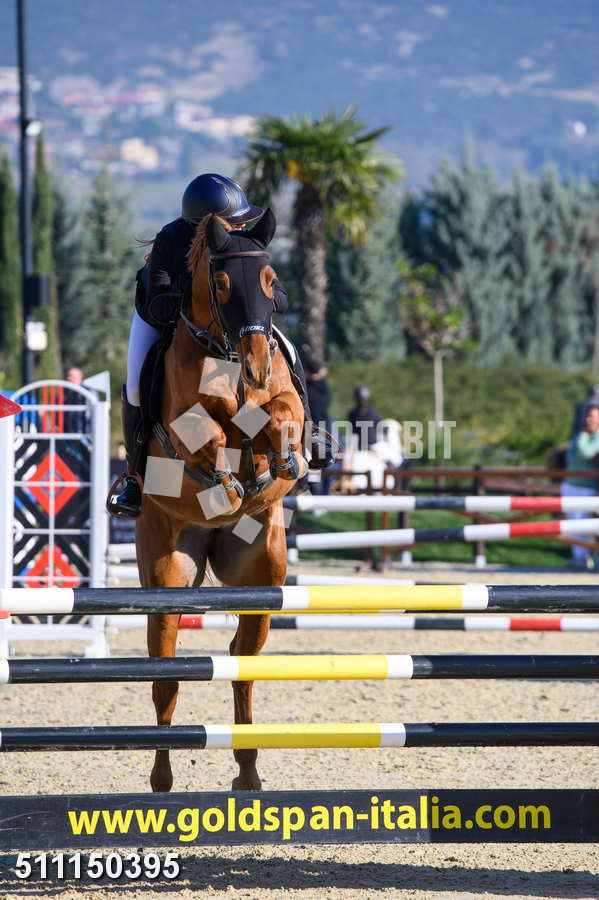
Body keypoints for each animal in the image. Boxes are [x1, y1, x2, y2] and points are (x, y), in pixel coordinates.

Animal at [136, 210, 307, 792]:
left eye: (272, 281)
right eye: (224, 283)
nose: (256, 366)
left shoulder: (283, 402)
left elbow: (279, 416)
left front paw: (279, 461)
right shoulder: (184, 425)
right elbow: (208, 433)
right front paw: (228, 481)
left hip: (262, 576)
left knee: (242, 665)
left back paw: (249, 773)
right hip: (166, 573)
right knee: (165, 676)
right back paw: (162, 780)